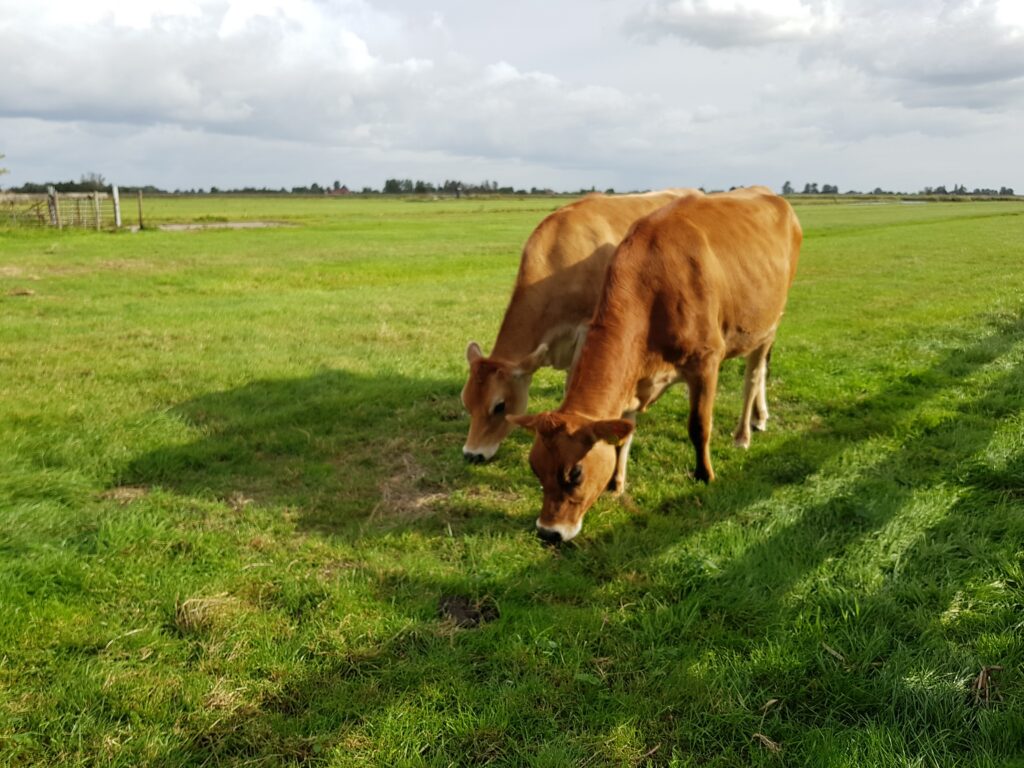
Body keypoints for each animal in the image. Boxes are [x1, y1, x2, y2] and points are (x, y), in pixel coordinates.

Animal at [507, 188, 802, 540]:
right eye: (535, 467)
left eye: (575, 473)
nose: (548, 532)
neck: (653, 287)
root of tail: (768, 193)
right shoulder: (633, 379)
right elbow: (623, 435)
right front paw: (616, 484)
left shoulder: (706, 360)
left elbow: (699, 425)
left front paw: (705, 475)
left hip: (770, 324)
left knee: (753, 377)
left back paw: (744, 433)